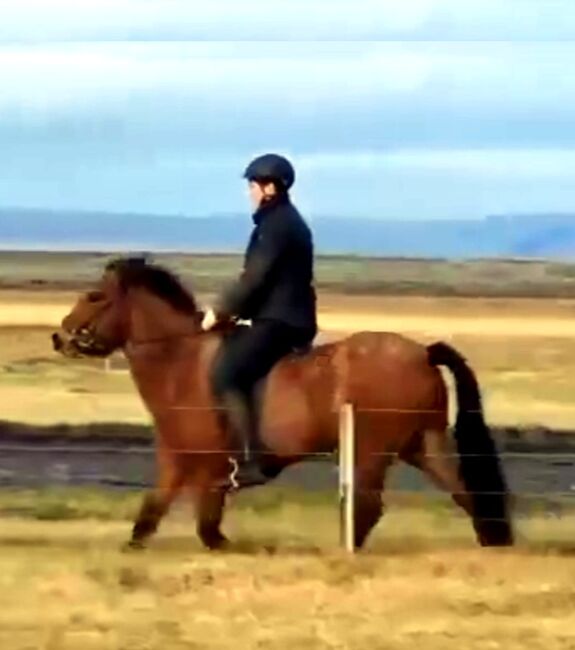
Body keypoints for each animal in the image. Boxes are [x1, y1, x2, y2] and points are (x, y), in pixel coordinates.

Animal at [51, 256, 516, 548]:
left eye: (95, 296)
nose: (60, 337)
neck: (179, 359)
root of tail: (421, 353)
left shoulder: (209, 473)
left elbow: (209, 532)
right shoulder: (175, 466)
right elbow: (146, 523)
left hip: (371, 450)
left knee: (368, 508)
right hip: (422, 444)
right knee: (466, 494)